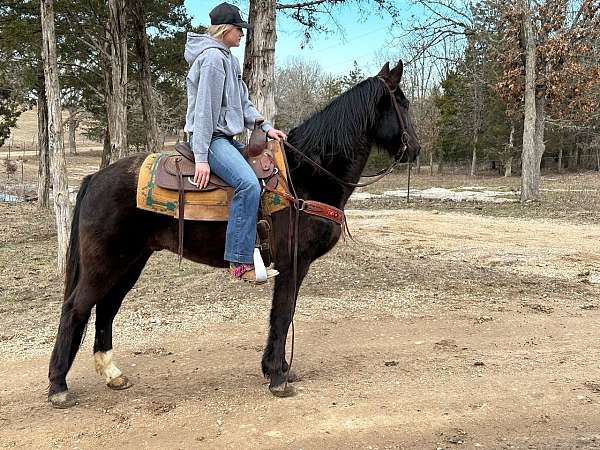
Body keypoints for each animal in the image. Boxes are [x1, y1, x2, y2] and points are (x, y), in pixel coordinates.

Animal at [49, 60, 420, 408]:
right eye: (402, 103)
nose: (414, 149)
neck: (305, 175)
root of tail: (94, 179)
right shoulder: (293, 263)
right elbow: (282, 314)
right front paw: (277, 377)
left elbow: (283, 314)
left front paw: (277, 368)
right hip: (105, 264)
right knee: (76, 308)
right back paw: (58, 386)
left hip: (130, 262)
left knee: (107, 307)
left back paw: (113, 374)